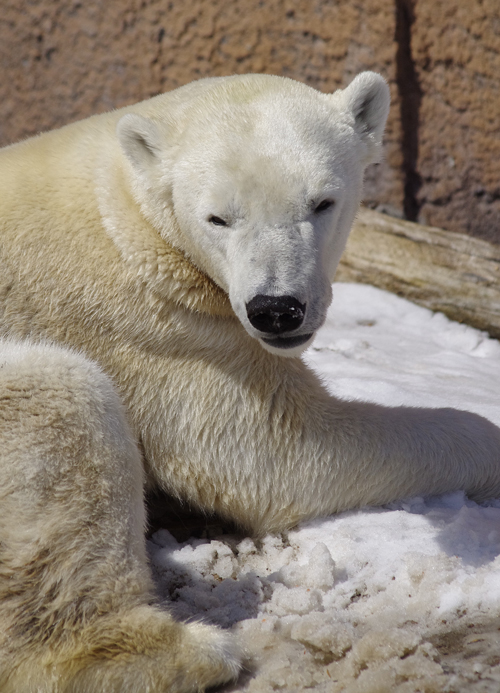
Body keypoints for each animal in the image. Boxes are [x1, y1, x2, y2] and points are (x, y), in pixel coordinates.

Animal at [0, 73, 498, 688]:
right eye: (218, 218)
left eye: (322, 202)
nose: (277, 310)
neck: (127, 211)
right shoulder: (158, 328)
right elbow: (277, 453)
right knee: (65, 391)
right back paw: (192, 651)